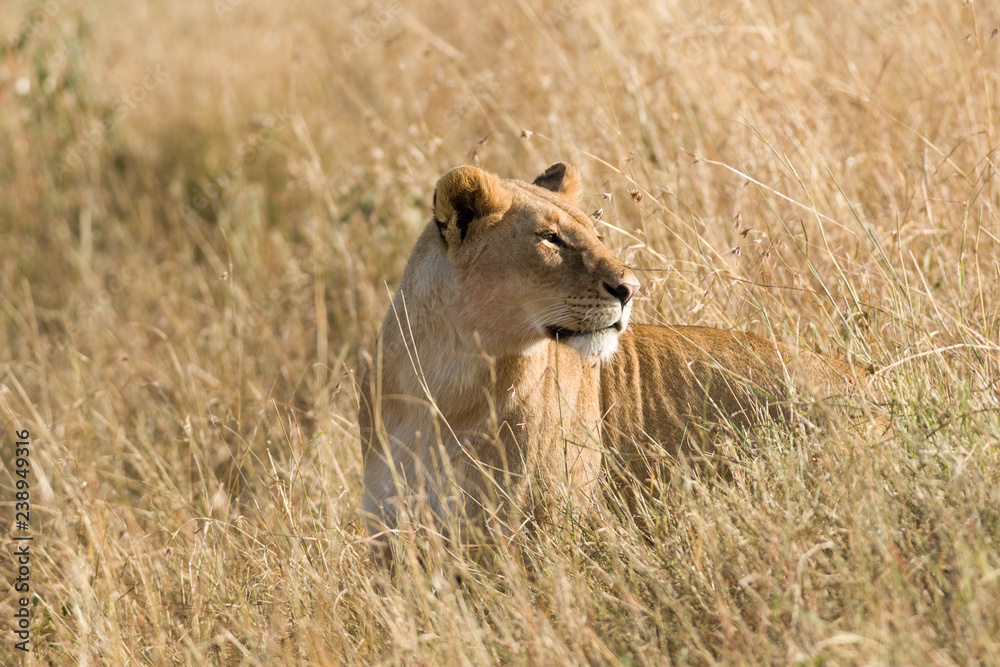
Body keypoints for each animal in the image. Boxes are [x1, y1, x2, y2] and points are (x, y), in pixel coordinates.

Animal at [358, 162, 872, 560]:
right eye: (550, 238)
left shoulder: (547, 530)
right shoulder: (391, 534)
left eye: (595, 233)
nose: (630, 289)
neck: (448, 382)